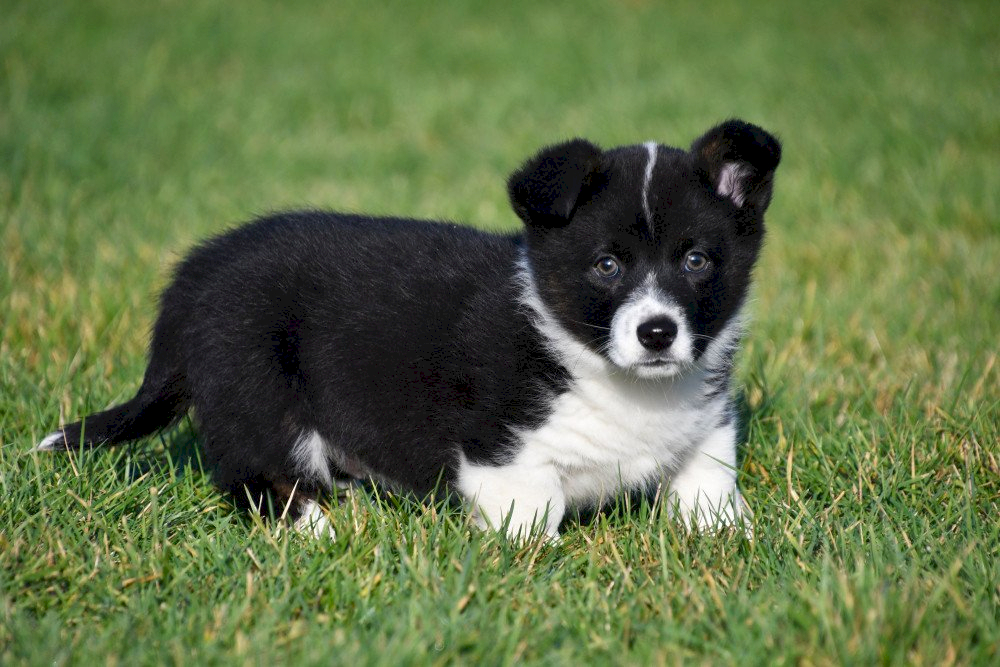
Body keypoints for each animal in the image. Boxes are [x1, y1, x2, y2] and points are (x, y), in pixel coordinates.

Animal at [36, 120, 781, 540]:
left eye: (696, 260)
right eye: (607, 265)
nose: (657, 333)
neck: (611, 377)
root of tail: (198, 272)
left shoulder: (707, 427)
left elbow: (709, 487)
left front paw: (730, 534)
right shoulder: (502, 456)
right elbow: (533, 519)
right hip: (257, 391)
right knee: (253, 474)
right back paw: (319, 527)